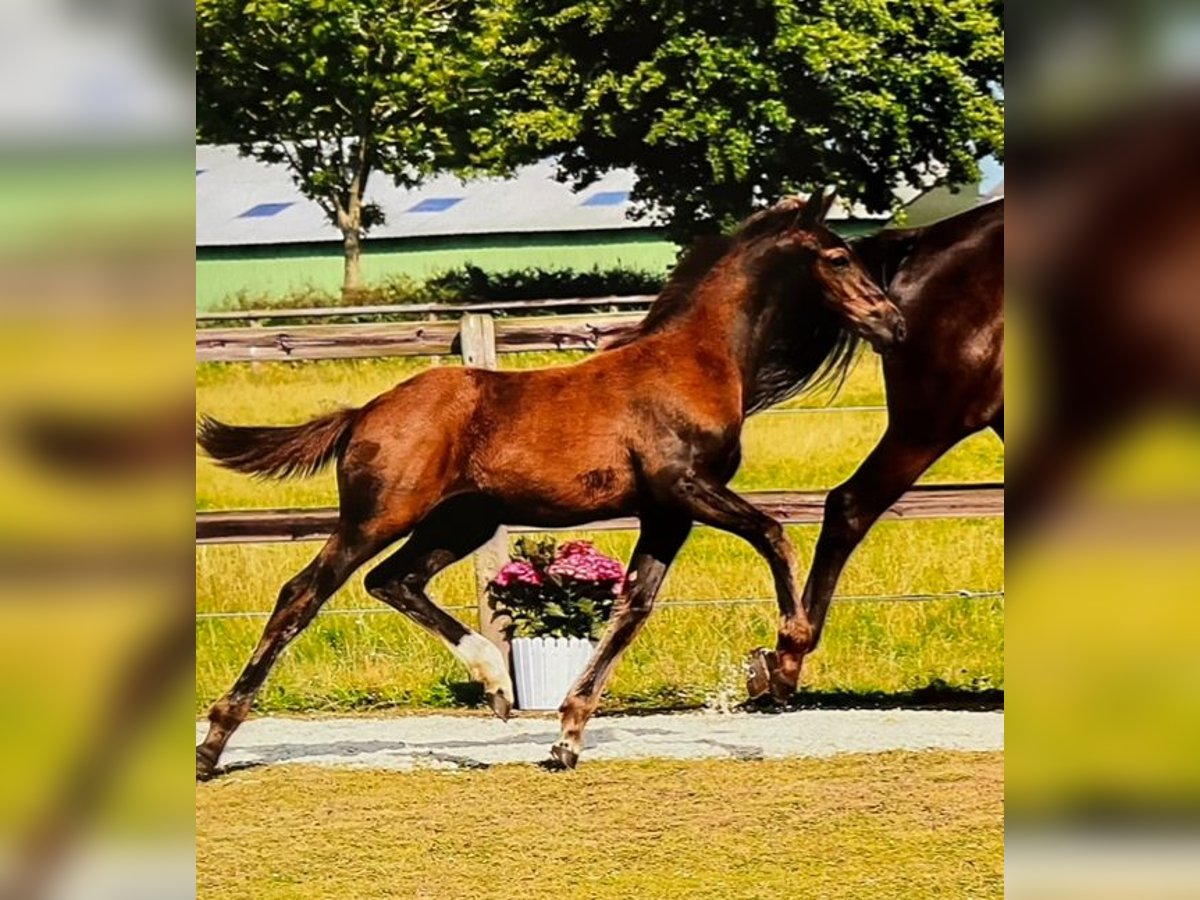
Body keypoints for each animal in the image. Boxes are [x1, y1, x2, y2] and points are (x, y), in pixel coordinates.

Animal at [194, 192, 902, 782]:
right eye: (838, 256)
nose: (892, 323)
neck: (695, 361)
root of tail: (364, 412)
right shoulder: (684, 486)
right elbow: (774, 533)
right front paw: (784, 660)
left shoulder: (665, 512)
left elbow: (632, 608)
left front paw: (566, 738)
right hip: (379, 516)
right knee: (303, 593)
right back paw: (212, 746)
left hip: (461, 521)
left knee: (393, 580)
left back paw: (496, 684)